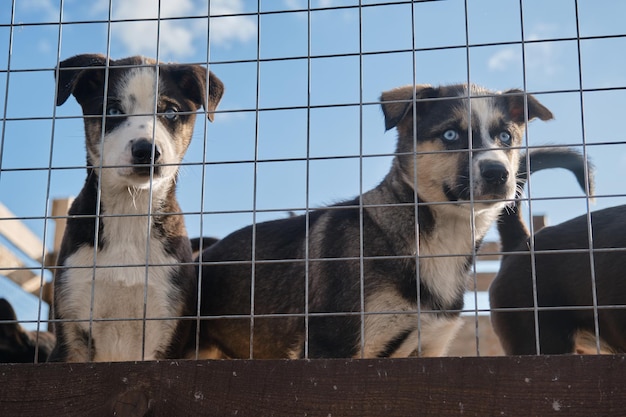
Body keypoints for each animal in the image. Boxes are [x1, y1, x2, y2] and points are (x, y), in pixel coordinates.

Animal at [49, 53, 224, 360]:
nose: (146, 151)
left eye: (170, 112)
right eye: (113, 111)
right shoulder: (71, 331)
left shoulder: (166, 329)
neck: (129, 209)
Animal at [195, 83, 588, 358]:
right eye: (450, 134)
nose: (498, 174)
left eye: (505, 136)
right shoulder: (330, 346)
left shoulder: (428, 347)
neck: (436, 238)